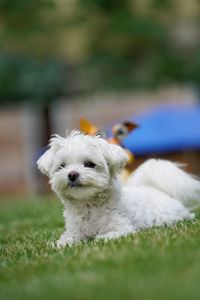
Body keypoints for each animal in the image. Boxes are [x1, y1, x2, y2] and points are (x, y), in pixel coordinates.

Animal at [36, 130, 199, 247]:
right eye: (62, 166)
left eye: (89, 164)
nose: (72, 174)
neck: (88, 205)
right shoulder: (74, 232)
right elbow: (66, 240)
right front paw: (60, 244)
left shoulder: (122, 228)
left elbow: (104, 237)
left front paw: (99, 239)